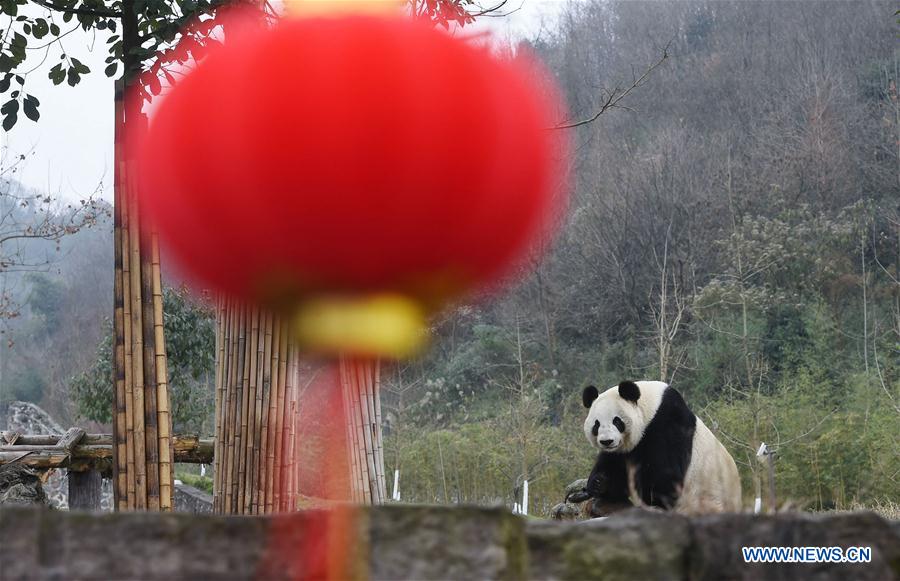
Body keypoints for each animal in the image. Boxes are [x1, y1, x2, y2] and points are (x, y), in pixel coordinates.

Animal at [580, 380, 740, 512]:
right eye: (596, 424)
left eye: (617, 421)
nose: (607, 441)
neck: (651, 408)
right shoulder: (623, 450)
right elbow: (614, 467)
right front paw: (598, 483)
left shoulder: (667, 425)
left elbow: (665, 474)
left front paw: (655, 501)